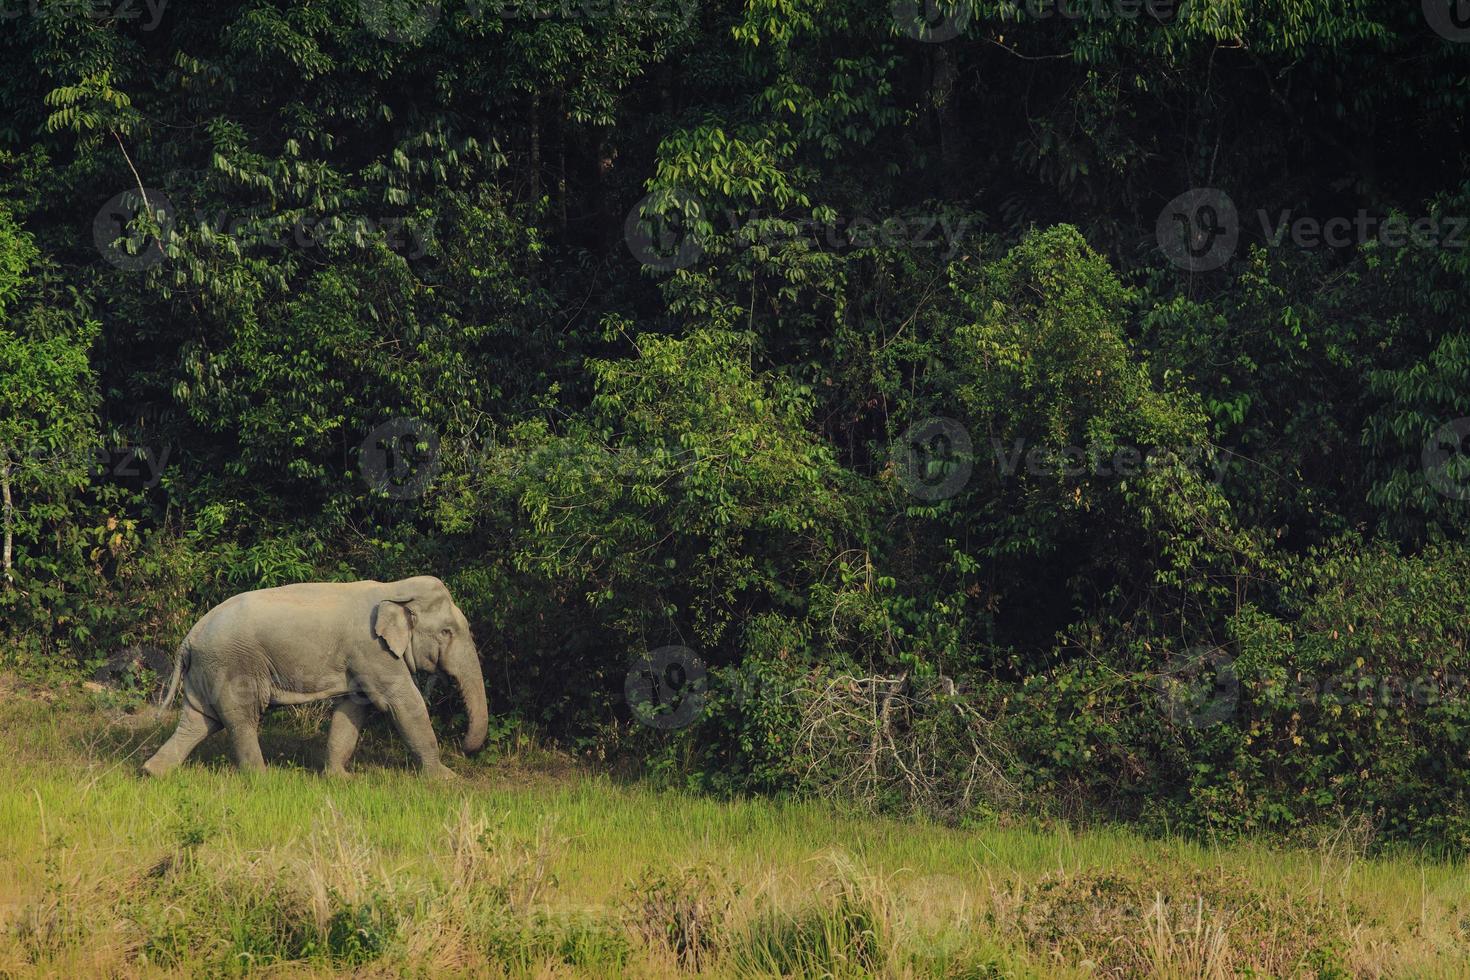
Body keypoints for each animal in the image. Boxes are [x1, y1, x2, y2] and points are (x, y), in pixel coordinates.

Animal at [142, 578, 488, 775]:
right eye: (446, 632)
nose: (464, 748)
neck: (394, 589)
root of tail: (190, 636)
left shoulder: (361, 658)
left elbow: (353, 708)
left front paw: (340, 779)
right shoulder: (372, 649)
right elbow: (403, 702)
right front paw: (446, 779)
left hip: (208, 669)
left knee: (198, 721)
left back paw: (152, 773)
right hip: (232, 666)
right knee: (241, 718)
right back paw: (262, 779)